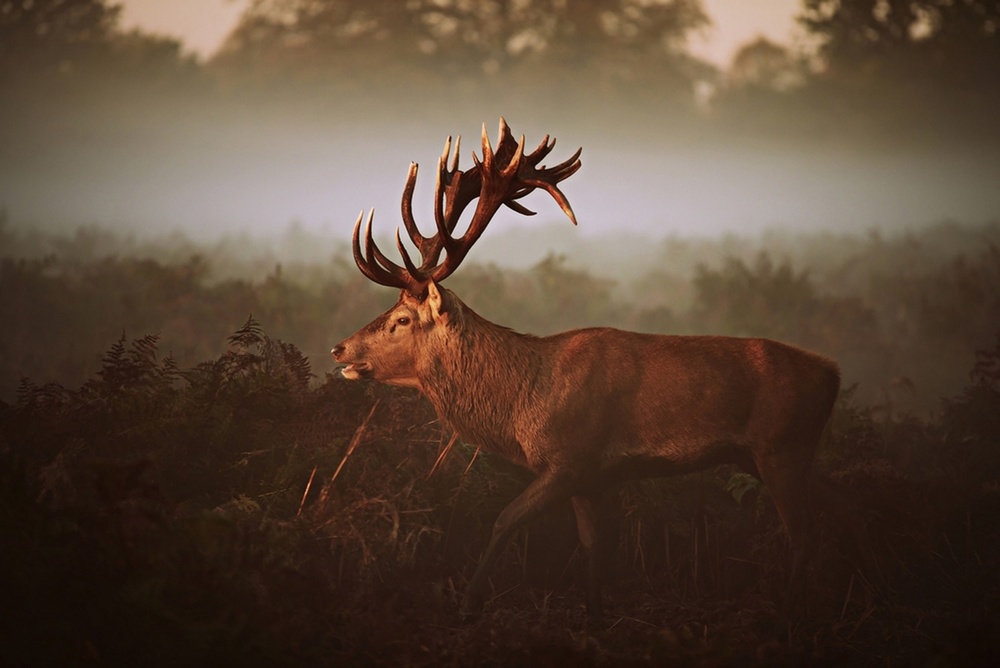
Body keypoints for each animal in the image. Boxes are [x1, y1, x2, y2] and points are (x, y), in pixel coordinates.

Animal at [331, 119, 872, 624]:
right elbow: (593, 547)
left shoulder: (569, 458)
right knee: (849, 505)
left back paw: (790, 614)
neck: (522, 403)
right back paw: (854, 599)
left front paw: (467, 605)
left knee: (804, 533)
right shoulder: (591, 478)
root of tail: (832, 374)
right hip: (769, 454)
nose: (339, 349)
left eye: (402, 319)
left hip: (780, 447)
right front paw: (593, 616)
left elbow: (504, 520)